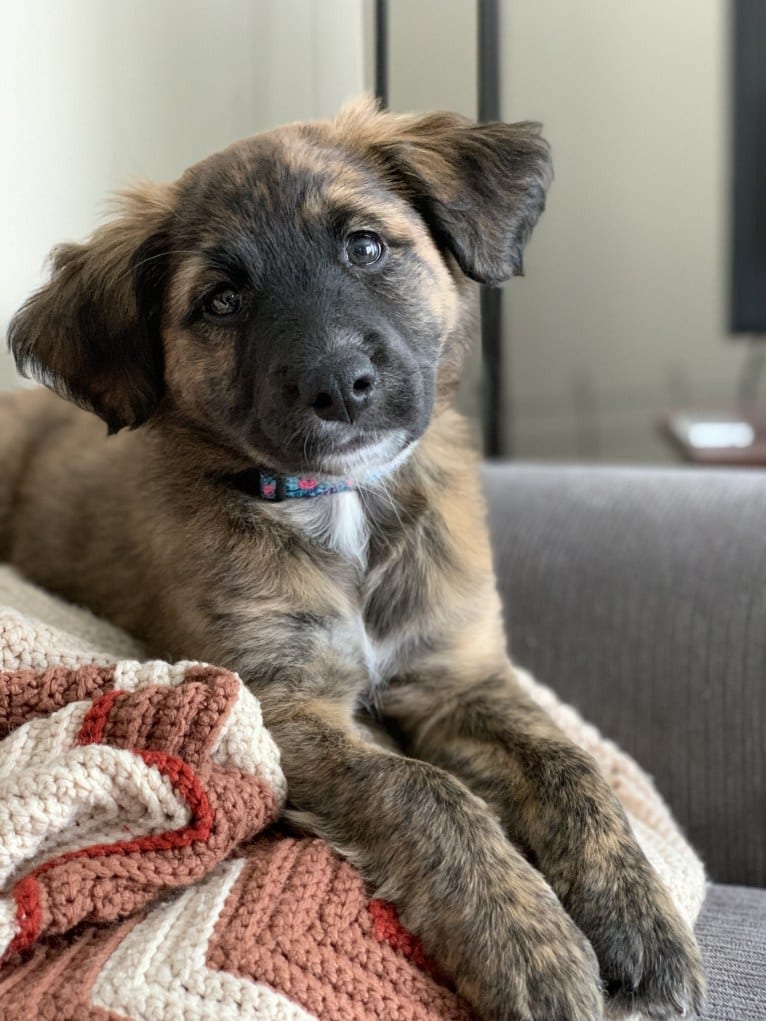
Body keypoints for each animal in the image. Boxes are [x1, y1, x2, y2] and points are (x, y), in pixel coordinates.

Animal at [1, 97, 706, 1021]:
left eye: (365, 246)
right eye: (221, 300)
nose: (338, 384)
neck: (343, 505)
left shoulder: (456, 676)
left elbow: (570, 764)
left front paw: (638, 914)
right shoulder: (281, 706)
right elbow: (425, 791)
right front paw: (531, 942)